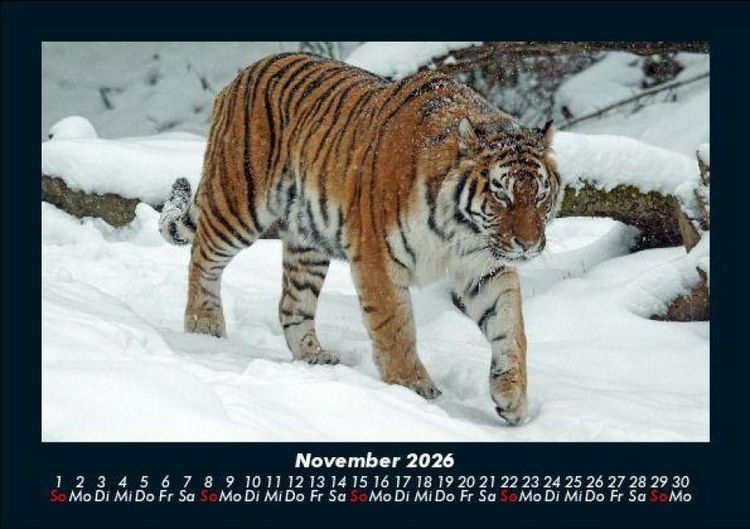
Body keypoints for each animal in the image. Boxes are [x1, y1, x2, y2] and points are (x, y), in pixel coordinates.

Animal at [158, 52, 561, 425]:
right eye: (501, 195)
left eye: (541, 195)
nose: (528, 245)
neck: (459, 230)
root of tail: (242, 74)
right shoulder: (377, 256)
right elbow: (395, 326)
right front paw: (411, 386)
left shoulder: (484, 266)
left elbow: (511, 327)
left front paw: (512, 397)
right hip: (238, 202)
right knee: (202, 257)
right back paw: (203, 326)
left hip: (307, 240)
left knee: (292, 303)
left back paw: (313, 356)